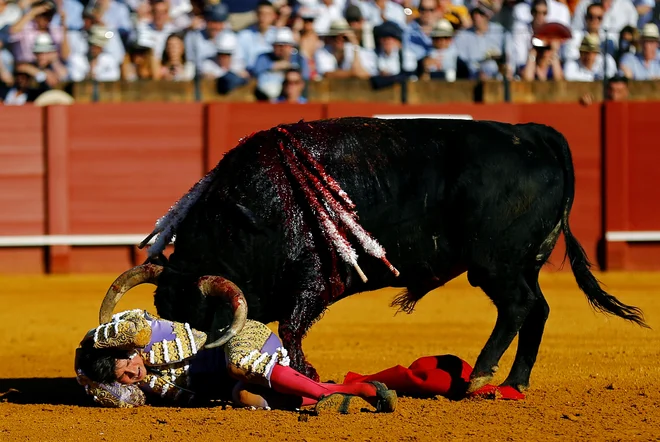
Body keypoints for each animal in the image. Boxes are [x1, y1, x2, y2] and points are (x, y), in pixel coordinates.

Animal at [100, 117, 648, 394]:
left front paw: (307, 375)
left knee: (518, 307)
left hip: (496, 263)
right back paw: (515, 381)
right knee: (538, 308)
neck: (249, 214)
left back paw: (480, 377)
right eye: (164, 315)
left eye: (199, 320)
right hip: (521, 263)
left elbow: (293, 329)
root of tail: (537, 134)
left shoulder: (313, 279)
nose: (182, 377)